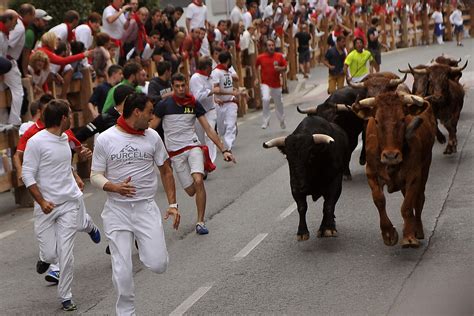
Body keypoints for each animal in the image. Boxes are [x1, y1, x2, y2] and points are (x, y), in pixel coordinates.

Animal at [352, 91, 436, 247]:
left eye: (402, 119)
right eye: (376, 120)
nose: (391, 156)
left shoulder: (414, 175)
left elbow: (407, 206)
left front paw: (409, 236)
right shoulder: (371, 173)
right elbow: (379, 200)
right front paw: (388, 233)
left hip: (426, 167)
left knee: (419, 199)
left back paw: (417, 229)